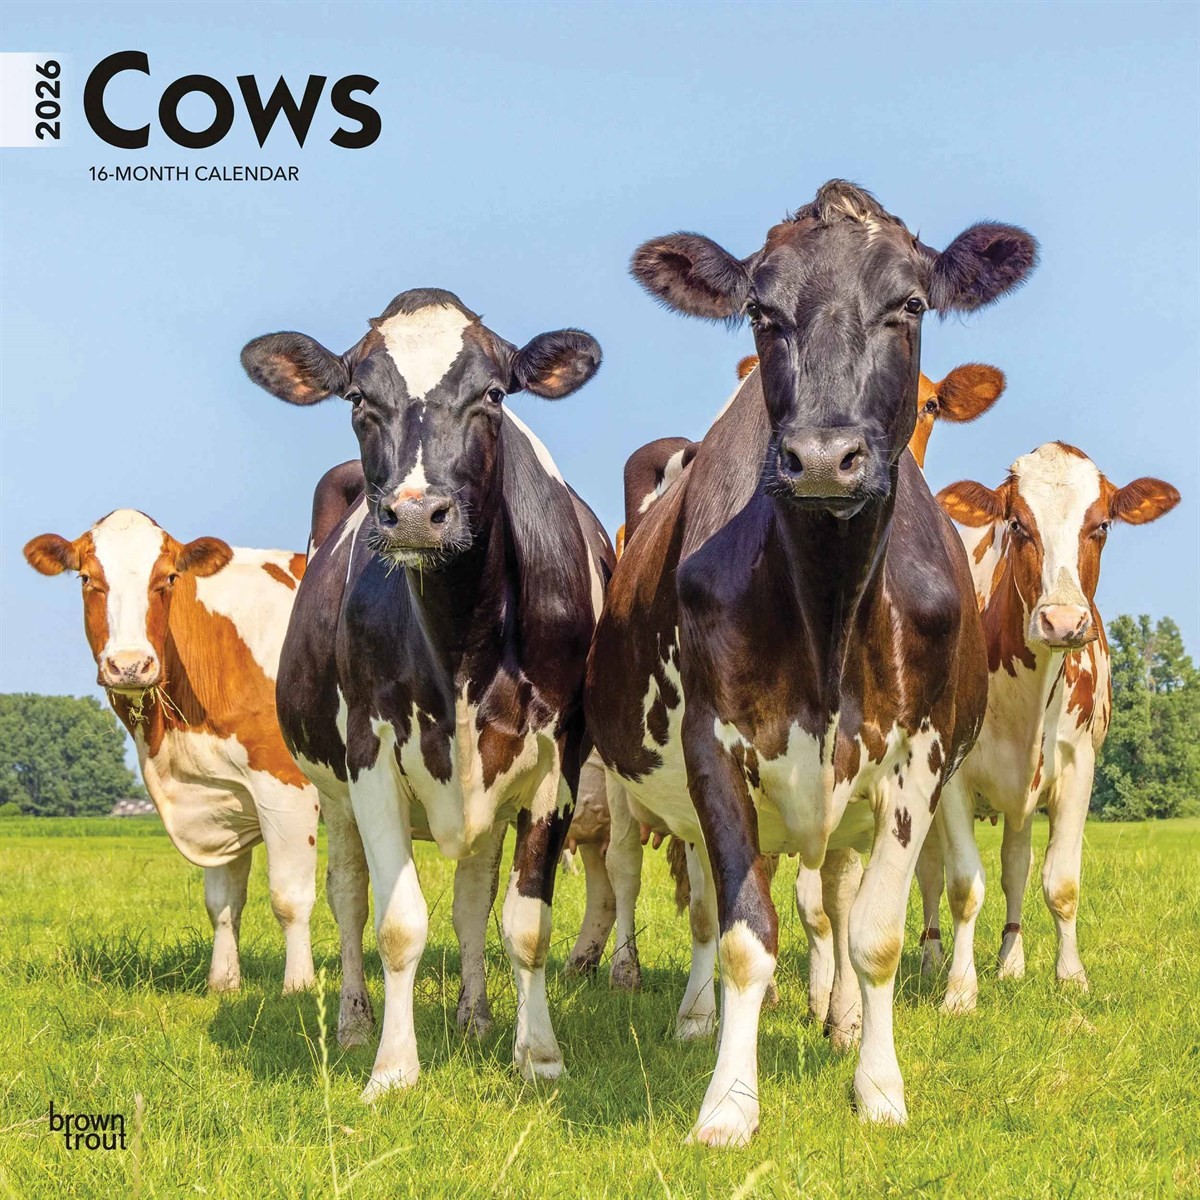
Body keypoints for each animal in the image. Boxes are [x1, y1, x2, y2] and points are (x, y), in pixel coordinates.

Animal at [23, 510, 318, 994]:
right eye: (86, 578)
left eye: (168, 578)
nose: (129, 665)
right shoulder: (219, 795)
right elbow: (222, 902)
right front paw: (222, 983)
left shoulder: (287, 787)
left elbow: (289, 898)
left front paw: (298, 988)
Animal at [241, 288, 606, 1100]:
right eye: (357, 398)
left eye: (494, 394)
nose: (413, 513)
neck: (463, 634)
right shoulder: (371, 755)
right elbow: (397, 922)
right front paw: (392, 1067)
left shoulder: (555, 760)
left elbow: (523, 923)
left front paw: (539, 1056)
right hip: (334, 791)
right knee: (347, 897)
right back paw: (352, 1024)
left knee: (472, 896)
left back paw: (475, 1018)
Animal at [586, 179, 1037, 1145]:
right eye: (762, 310)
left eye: (910, 305)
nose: (824, 458)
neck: (828, 608)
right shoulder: (716, 749)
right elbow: (743, 934)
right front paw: (727, 1102)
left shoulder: (917, 759)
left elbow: (875, 933)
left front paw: (879, 1087)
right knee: (701, 903)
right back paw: (695, 1015)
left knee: (835, 891)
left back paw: (842, 1020)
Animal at [915, 442, 1179, 1008]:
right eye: (1017, 524)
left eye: (1101, 525)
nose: (1062, 622)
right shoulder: (952, 776)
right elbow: (963, 884)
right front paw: (959, 991)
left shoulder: (1079, 767)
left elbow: (1059, 881)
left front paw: (1070, 977)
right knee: (928, 872)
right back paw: (930, 959)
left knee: (1016, 864)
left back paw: (1010, 960)